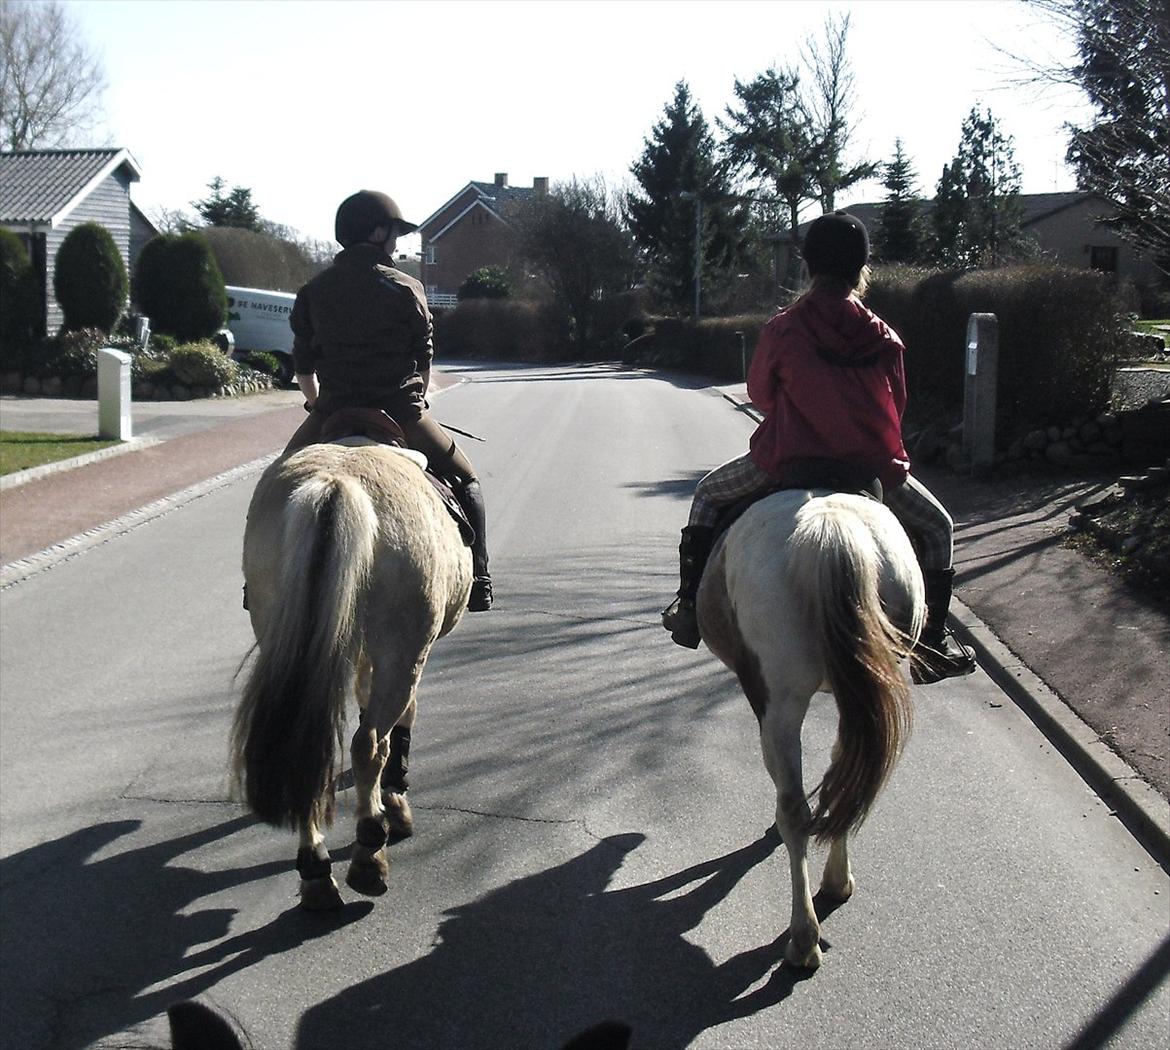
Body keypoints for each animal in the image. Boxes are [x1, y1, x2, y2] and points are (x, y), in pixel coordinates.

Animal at [228, 437, 470, 903]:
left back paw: (316, 873)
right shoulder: (404, 653)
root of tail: (335, 484)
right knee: (371, 744)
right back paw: (369, 855)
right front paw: (394, 803)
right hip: (403, 650)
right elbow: (399, 726)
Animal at [692, 486, 921, 969]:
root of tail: (831, 530)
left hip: (779, 703)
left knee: (793, 809)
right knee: (848, 783)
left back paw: (803, 939)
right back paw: (836, 881)